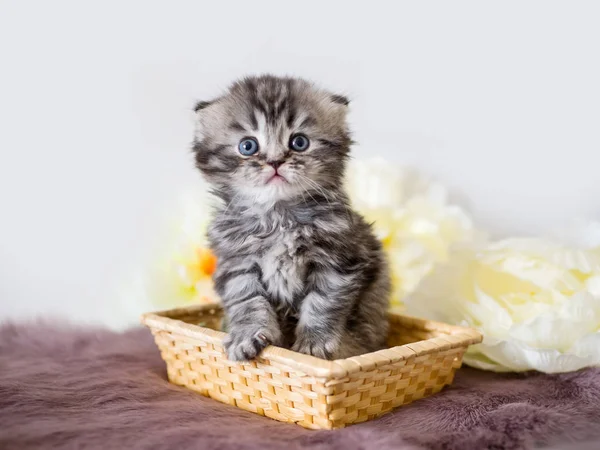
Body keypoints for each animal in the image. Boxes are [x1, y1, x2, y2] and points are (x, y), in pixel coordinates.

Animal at [191, 74, 390, 362]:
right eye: (247, 146)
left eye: (299, 142)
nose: (275, 162)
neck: (279, 217)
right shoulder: (236, 264)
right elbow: (247, 302)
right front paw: (246, 337)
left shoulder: (339, 261)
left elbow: (322, 303)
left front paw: (314, 344)